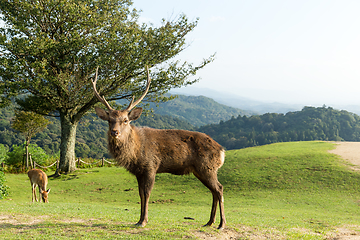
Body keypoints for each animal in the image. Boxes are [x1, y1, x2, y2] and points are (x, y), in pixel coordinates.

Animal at [93, 66, 226, 230]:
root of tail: (222, 151)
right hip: (201, 170)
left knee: (219, 189)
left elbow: (147, 193)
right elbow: (140, 194)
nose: (114, 132)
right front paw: (138, 220)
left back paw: (221, 224)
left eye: (125, 120)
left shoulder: (151, 166)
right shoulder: (139, 172)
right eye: (109, 120)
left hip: (207, 167)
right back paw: (209, 222)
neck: (135, 152)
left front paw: (144, 221)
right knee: (214, 191)